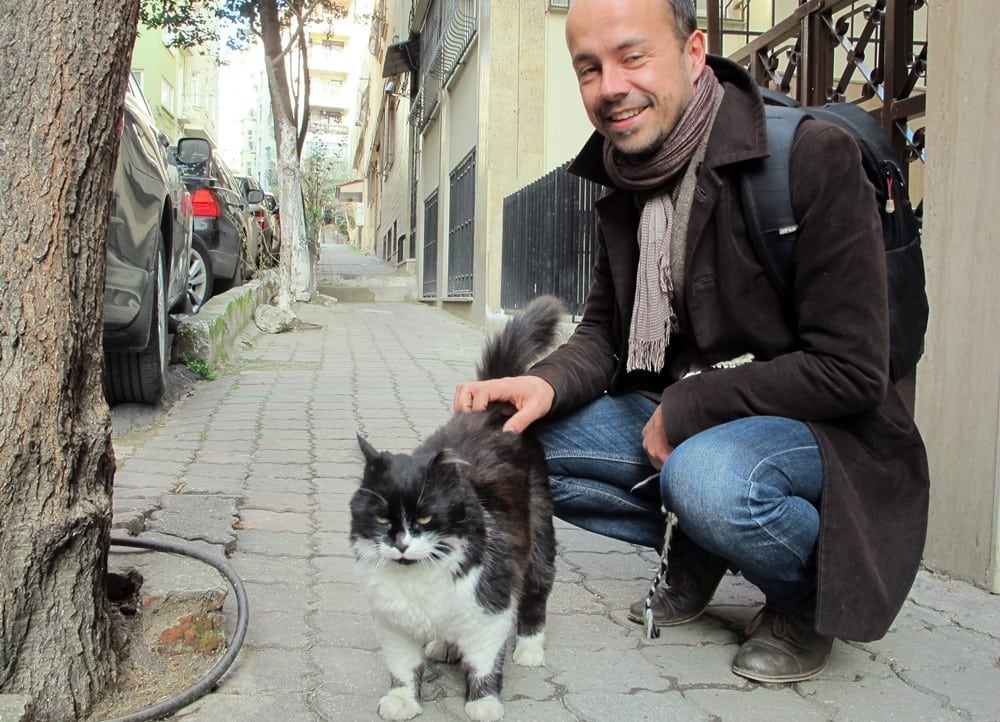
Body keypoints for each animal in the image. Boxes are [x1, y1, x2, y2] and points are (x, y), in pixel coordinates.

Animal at [350, 295, 563, 722]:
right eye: (382, 518)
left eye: (425, 516)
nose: (400, 543)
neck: (417, 581)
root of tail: (492, 407)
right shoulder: (393, 625)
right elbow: (403, 668)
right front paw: (402, 700)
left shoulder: (490, 609)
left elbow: (483, 664)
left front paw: (483, 702)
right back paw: (444, 646)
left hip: (539, 539)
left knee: (536, 595)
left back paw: (530, 648)